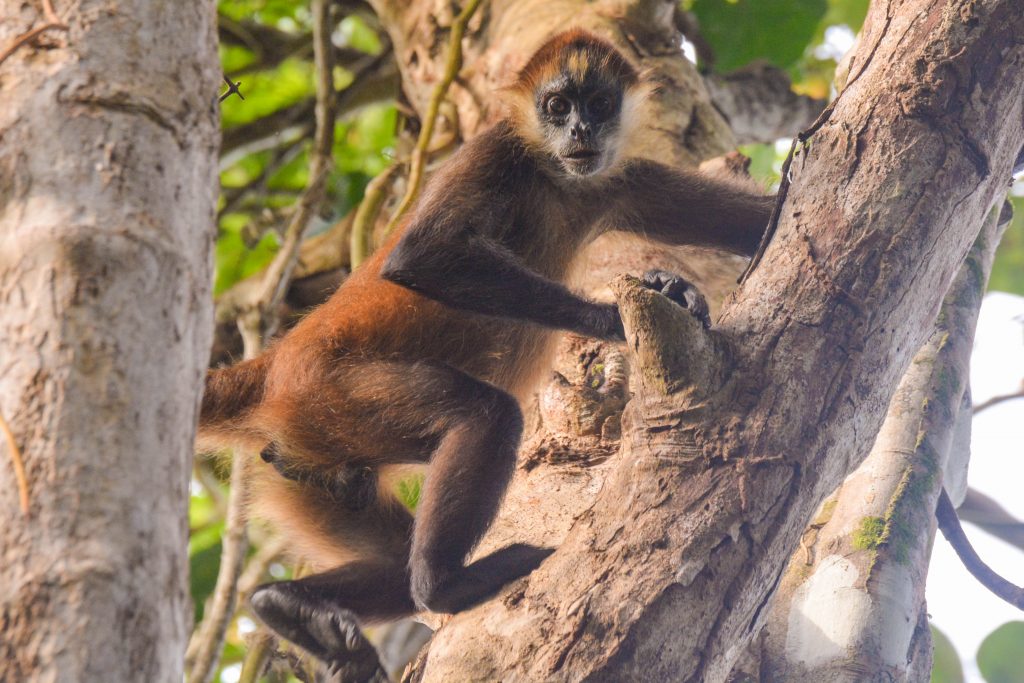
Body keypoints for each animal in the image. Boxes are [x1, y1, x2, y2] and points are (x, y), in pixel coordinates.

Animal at [197, 29, 774, 675]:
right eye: (557, 106)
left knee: (391, 568)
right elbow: (421, 258)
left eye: (599, 104)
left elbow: (758, 220)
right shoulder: (495, 151)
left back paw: (282, 603)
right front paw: (620, 316)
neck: (551, 178)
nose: (581, 131)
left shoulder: (617, 178)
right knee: (484, 414)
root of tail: (273, 364)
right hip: (330, 396)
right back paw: (446, 588)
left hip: (310, 463)